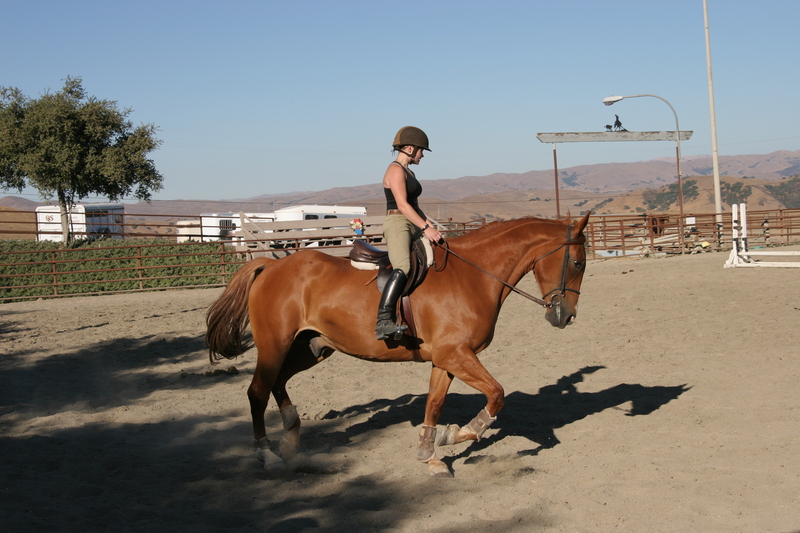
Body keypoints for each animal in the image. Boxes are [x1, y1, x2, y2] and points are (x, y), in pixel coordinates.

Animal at [206, 212, 591, 477]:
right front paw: (461, 433)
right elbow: (497, 393)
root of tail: (270, 267)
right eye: (577, 262)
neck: (475, 274)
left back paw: (290, 435)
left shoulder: (446, 359)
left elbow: (434, 404)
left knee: (279, 381)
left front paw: (430, 455)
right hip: (275, 345)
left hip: (312, 347)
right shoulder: (456, 355)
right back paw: (267, 454)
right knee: (258, 391)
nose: (567, 317)